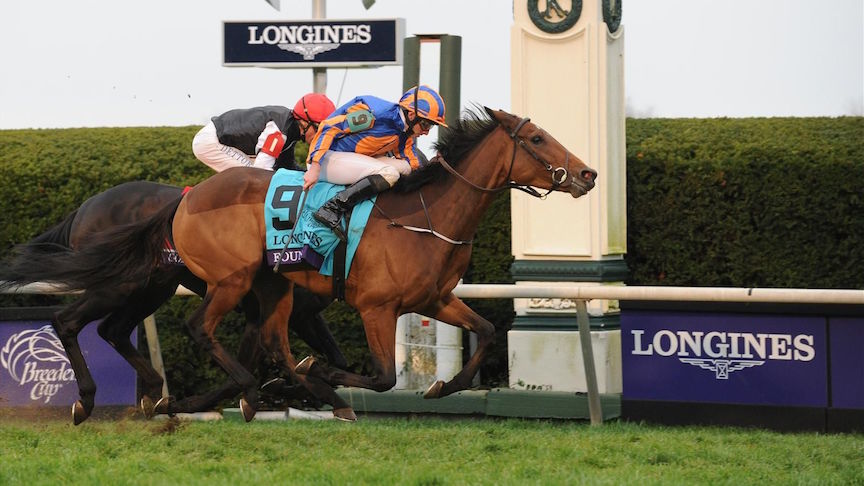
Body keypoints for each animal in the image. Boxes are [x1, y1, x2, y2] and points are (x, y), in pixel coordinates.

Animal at [0, 180, 344, 424]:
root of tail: (85, 207)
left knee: (112, 330)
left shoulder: (302, 315)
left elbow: (333, 358)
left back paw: (152, 389)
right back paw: (86, 401)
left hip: (154, 288)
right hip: (120, 283)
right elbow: (248, 373)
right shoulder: (267, 312)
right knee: (67, 321)